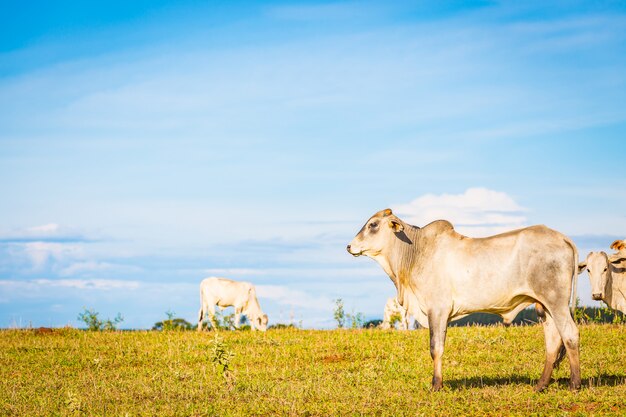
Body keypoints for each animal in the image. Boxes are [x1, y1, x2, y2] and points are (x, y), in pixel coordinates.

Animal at [344, 208, 576, 390]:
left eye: (373, 224)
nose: (349, 246)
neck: (416, 253)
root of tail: (561, 237)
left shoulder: (437, 309)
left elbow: (435, 347)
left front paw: (436, 385)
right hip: (545, 306)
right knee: (553, 341)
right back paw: (541, 385)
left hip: (556, 301)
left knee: (570, 334)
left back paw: (575, 384)